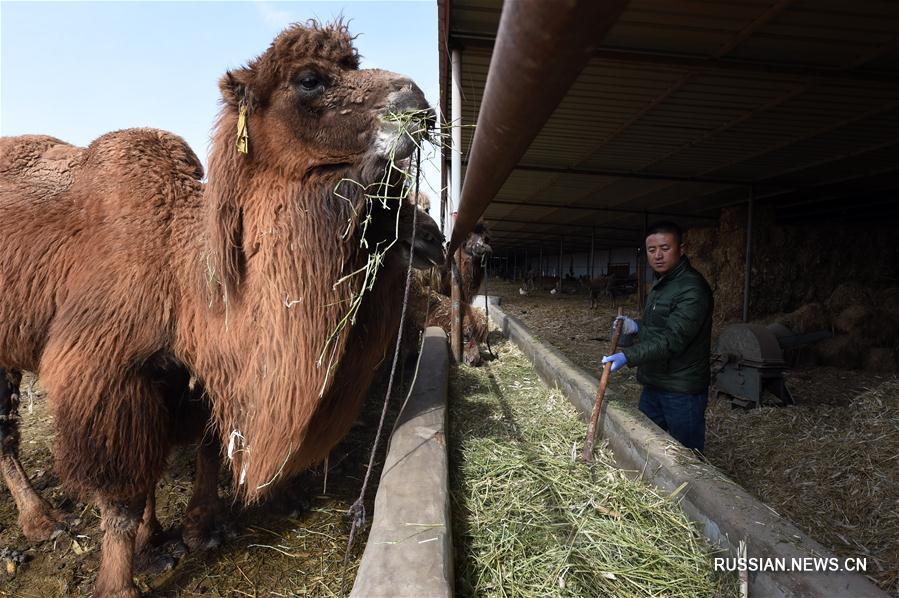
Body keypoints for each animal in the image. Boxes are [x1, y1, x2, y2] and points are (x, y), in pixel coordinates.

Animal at [0, 21, 442, 596]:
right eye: (309, 79)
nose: (419, 102)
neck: (181, 266)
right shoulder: (104, 371)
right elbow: (122, 494)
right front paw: (122, 580)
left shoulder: (180, 370)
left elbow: (185, 454)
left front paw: (174, 538)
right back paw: (42, 522)